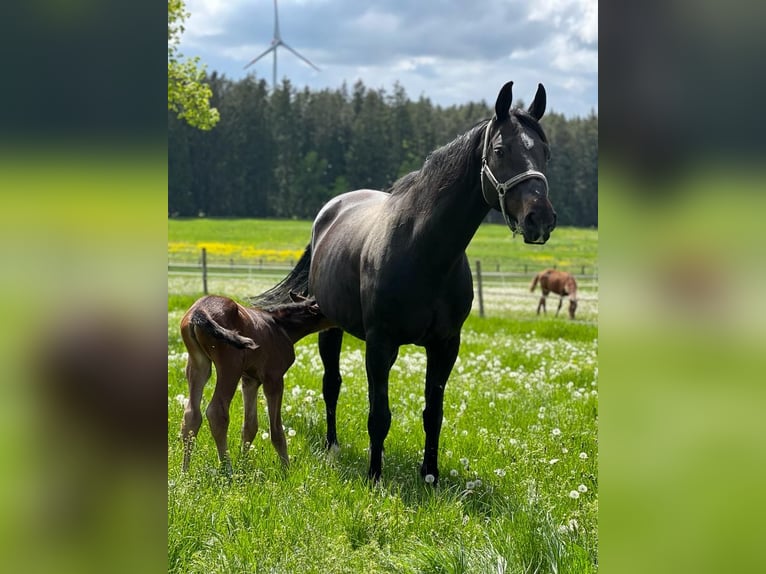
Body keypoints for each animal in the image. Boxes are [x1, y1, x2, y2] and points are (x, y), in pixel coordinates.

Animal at [179, 293, 333, 474]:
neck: (282, 327)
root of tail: (199, 310)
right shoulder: (273, 378)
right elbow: (276, 429)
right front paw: (286, 471)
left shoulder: (250, 380)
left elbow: (250, 426)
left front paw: (244, 464)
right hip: (230, 365)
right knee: (216, 412)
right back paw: (228, 471)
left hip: (198, 364)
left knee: (192, 415)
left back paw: (185, 472)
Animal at [252, 81, 556, 483]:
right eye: (500, 150)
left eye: (545, 153)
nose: (540, 219)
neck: (424, 252)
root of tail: (329, 212)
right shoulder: (381, 344)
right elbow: (379, 415)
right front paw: (374, 476)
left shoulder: (445, 346)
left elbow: (433, 413)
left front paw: (430, 475)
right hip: (330, 327)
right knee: (331, 385)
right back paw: (332, 447)